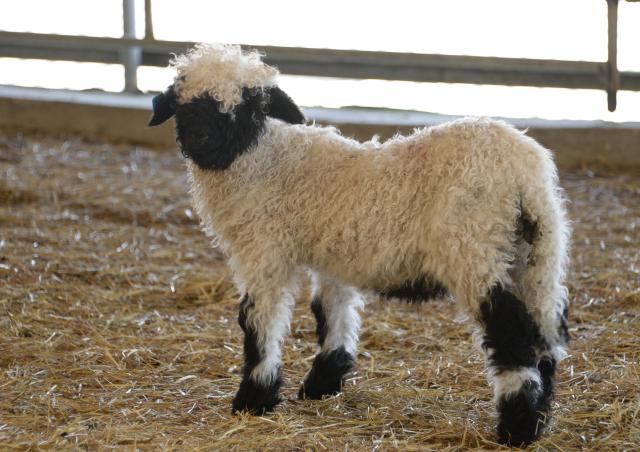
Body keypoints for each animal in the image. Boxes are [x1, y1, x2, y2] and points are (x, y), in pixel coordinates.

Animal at [149, 44, 568, 446]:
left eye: (250, 106)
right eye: (183, 103)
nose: (202, 139)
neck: (263, 160)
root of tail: (524, 174)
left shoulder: (264, 252)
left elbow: (259, 324)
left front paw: (254, 399)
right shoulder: (333, 256)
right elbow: (333, 312)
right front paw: (323, 383)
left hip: (476, 251)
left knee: (512, 335)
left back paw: (517, 429)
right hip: (536, 257)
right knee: (544, 337)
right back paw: (541, 414)